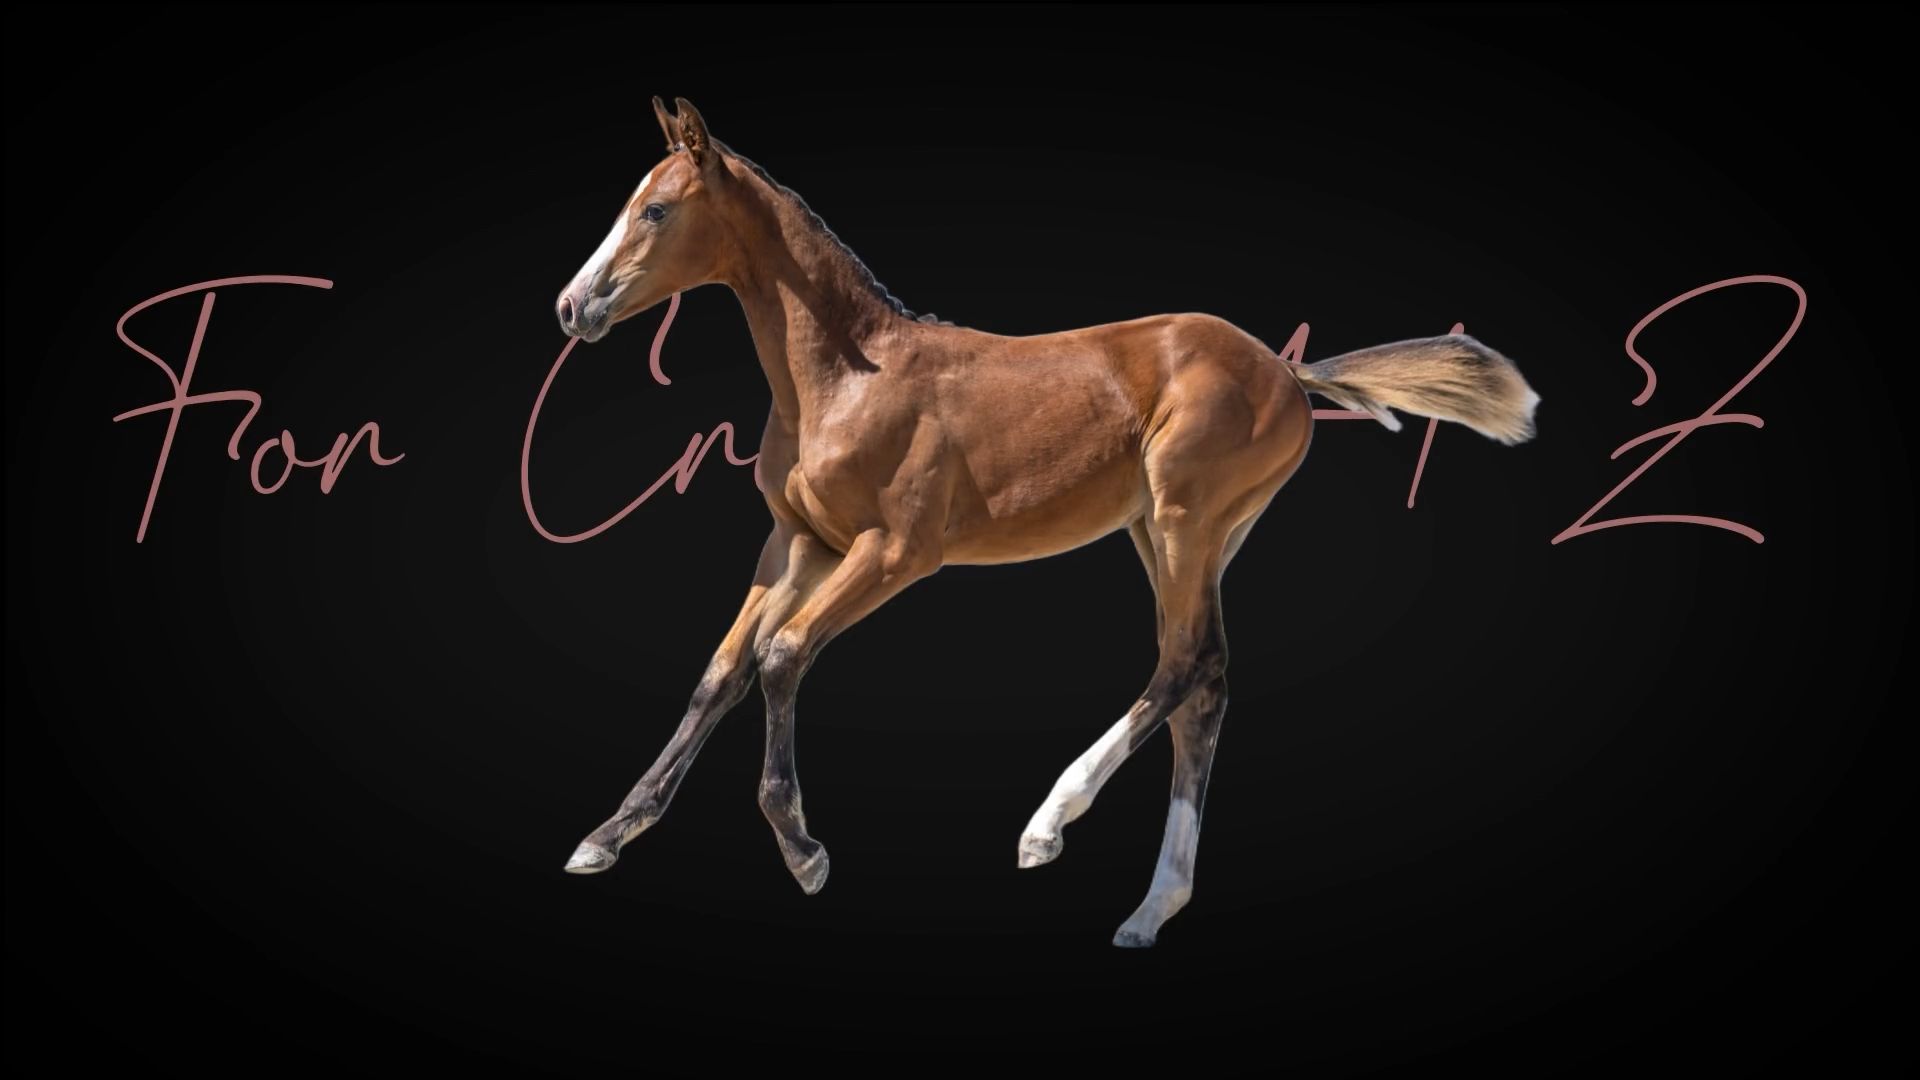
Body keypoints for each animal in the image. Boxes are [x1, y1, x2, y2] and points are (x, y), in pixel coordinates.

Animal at [553, 97, 1541, 947]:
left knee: (1186, 665)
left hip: (1185, 519)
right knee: (1205, 681)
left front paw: (803, 853)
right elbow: (721, 672)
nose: (573, 307)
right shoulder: (798, 542)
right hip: (1171, 534)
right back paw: (1148, 911)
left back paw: (1049, 824)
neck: (844, 378)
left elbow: (783, 654)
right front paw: (605, 836)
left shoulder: (896, 552)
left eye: (656, 211)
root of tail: (1285, 370)